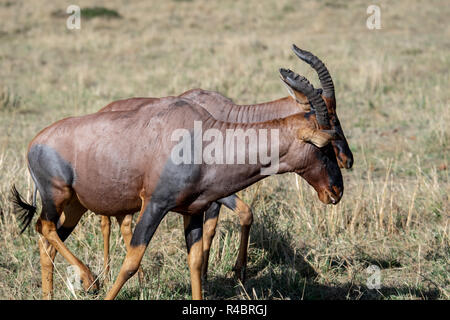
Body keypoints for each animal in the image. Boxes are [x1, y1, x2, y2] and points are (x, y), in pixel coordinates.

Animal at [12, 68, 342, 300]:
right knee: (44, 228)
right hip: (55, 198)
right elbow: (132, 260)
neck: (203, 137)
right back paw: (90, 279)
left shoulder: (192, 212)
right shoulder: (154, 205)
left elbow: (194, 261)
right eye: (323, 143)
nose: (336, 191)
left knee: (47, 240)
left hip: (75, 207)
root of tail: (35, 142)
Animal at [97, 45, 352, 282]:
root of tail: (103, 109)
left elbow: (217, 226)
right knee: (106, 221)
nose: (347, 160)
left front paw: (208, 274)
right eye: (330, 117)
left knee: (121, 221)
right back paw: (106, 275)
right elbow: (243, 214)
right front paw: (232, 271)